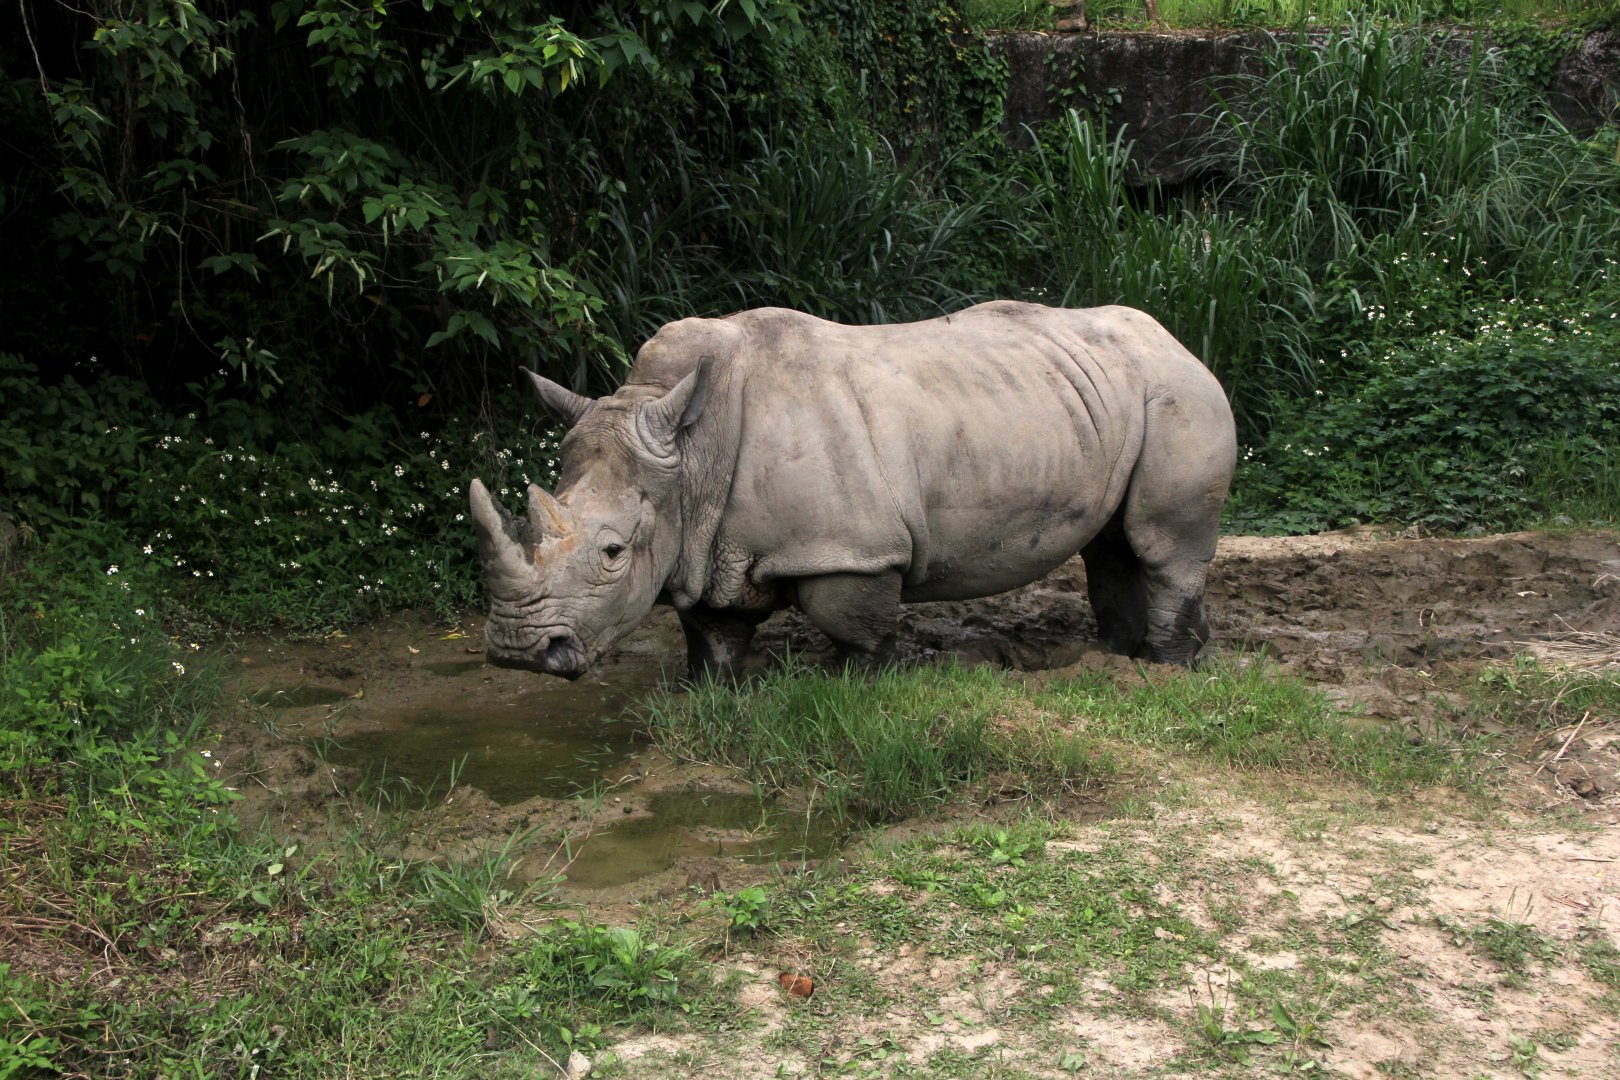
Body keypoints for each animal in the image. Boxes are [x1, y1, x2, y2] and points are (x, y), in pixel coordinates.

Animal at [469, 301, 1237, 680]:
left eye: (613, 553)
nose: (516, 653)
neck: (690, 456)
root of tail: (1178, 340)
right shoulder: (705, 537)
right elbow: (711, 628)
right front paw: (710, 693)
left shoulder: (854, 548)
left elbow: (853, 621)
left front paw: (857, 685)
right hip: (1102, 395)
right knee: (1112, 543)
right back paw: (1111, 658)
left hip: (1180, 394)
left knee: (1161, 544)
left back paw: (1163, 673)